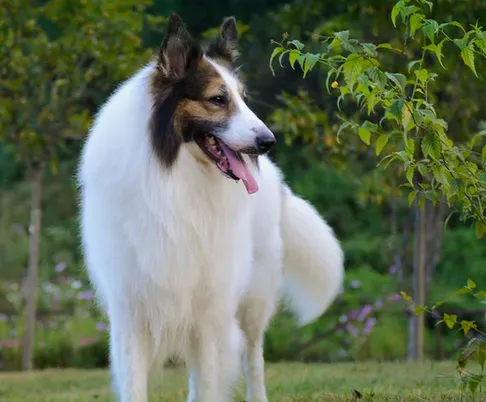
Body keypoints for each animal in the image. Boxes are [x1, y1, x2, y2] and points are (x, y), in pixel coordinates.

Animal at [79, 13, 342, 402]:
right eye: (218, 99)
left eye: (244, 99)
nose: (268, 142)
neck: (175, 177)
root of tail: (274, 178)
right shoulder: (131, 310)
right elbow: (136, 385)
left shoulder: (207, 310)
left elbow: (208, 380)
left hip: (252, 300)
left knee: (253, 357)